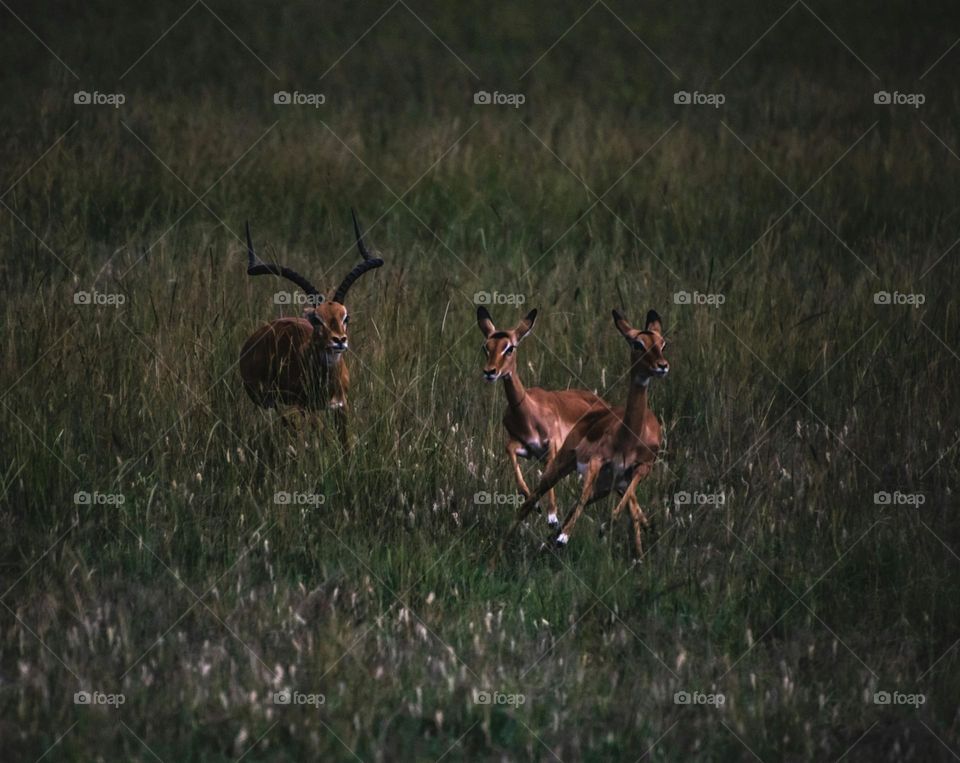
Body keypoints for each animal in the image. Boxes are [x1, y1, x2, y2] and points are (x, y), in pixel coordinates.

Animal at [239, 211, 383, 447]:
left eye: (346, 317)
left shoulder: (340, 407)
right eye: (316, 319)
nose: (339, 340)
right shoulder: (303, 407)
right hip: (272, 404)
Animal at [477, 306, 610, 528]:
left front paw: (552, 517)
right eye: (486, 346)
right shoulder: (527, 449)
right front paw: (534, 504)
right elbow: (510, 450)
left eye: (509, 348)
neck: (529, 412)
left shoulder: (552, 448)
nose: (490, 372)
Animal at [504, 309, 668, 556]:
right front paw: (563, 537)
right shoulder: (596, 462)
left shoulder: (638, 470)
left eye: (662, 343)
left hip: (605, 484)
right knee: (531, 501)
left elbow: (619, 507)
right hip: (563, 465)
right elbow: (582, 501)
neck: (628, 438)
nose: (662, 365)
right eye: (638, 343)